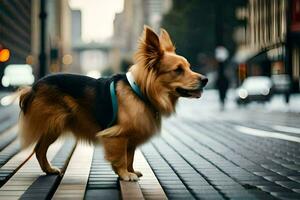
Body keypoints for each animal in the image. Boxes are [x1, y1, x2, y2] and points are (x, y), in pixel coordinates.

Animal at [18, 26, 206, 181]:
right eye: (178, 70)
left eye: (189, 67)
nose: (205, 80)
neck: (140, 93)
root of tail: (33, 87)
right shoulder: (117, 135)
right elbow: (121, 157)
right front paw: (125, 174)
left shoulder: (131, 138)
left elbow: (130, 156)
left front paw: (131, 170)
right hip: (55, 123)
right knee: (39, 149)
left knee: (39, 149)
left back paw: (48, 170)